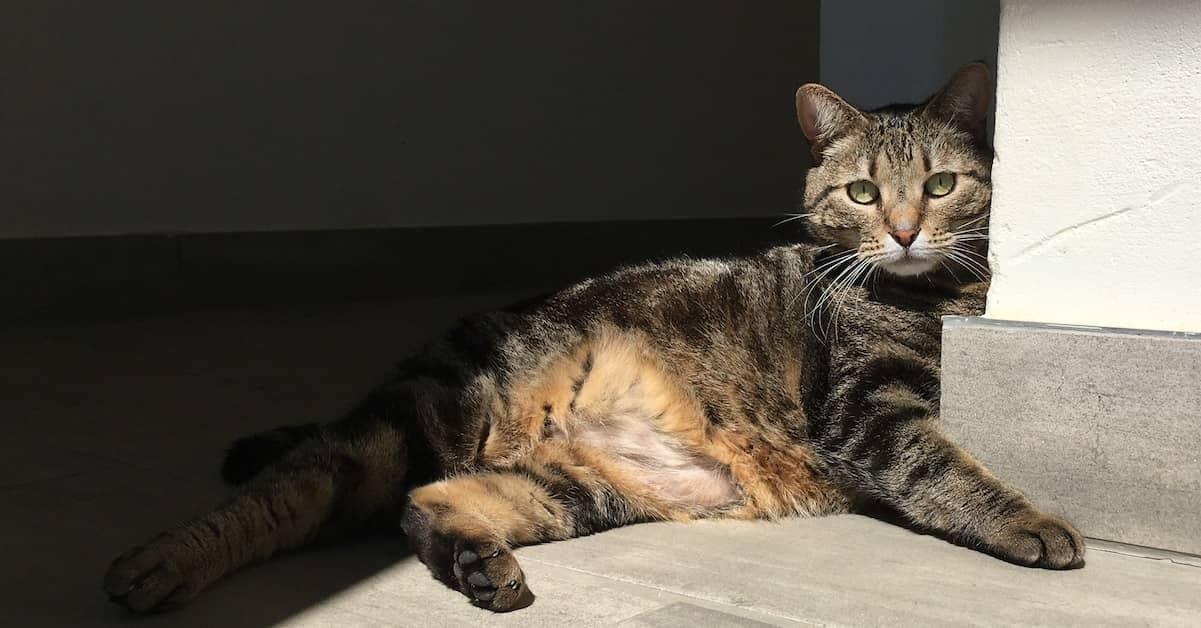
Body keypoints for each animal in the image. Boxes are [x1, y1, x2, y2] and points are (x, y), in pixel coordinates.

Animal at [103, 63, 1085, 614]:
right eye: (863, 194)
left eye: (942, 185)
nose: (908, 232)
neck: (938, 294)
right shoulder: (866, 410)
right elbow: (946, 469)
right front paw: (1034, 523)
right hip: (405, 430)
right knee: (281, 500)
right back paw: (159, 564)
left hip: (581, 487)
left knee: (426, 502)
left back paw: (478, 566)